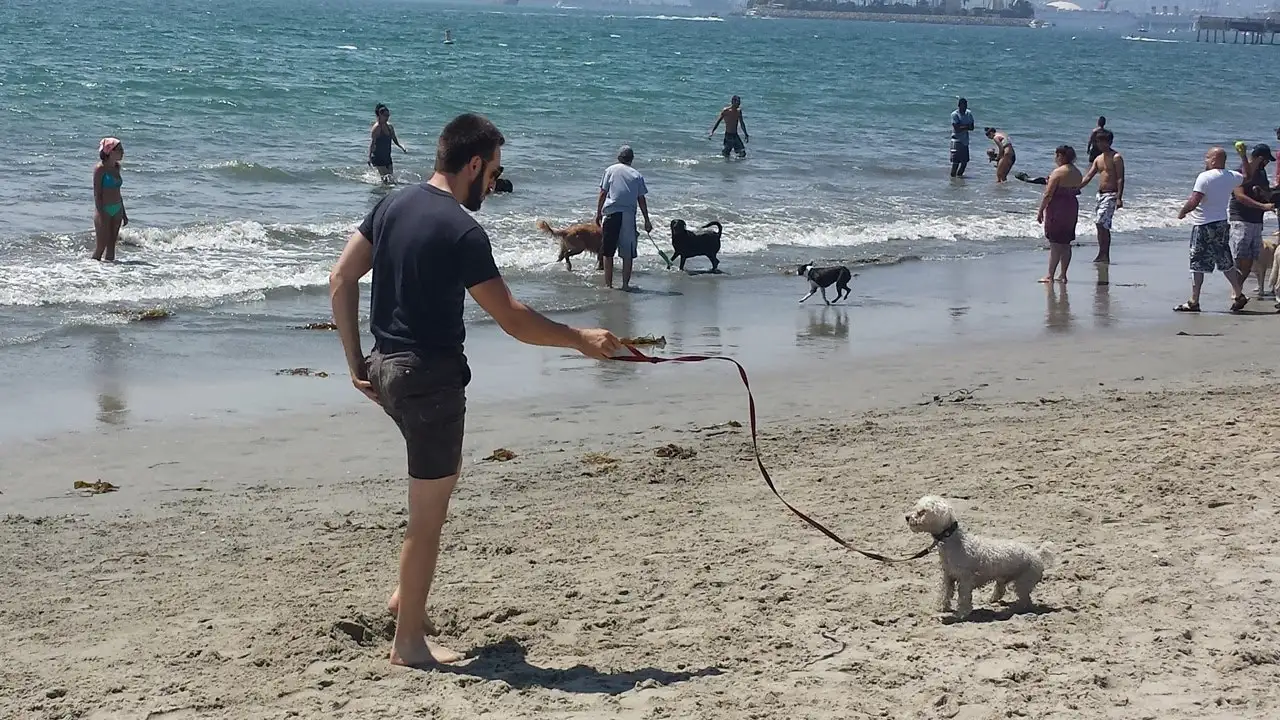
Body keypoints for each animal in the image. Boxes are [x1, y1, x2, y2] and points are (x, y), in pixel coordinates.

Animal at [906, 491, 1054, 617]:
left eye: (922, 512)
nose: (906, 517)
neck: (952, 540)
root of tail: (1037, 553)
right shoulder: (948, 576)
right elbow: (945, 593)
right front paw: (942, 607)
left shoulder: (965, 579)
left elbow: (963, 597)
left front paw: (962, 613)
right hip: (1004, 577)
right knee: (1002, 589)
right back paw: (994, 600)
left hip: (1024, 582)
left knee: (1026, 600)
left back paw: (1018, 610)